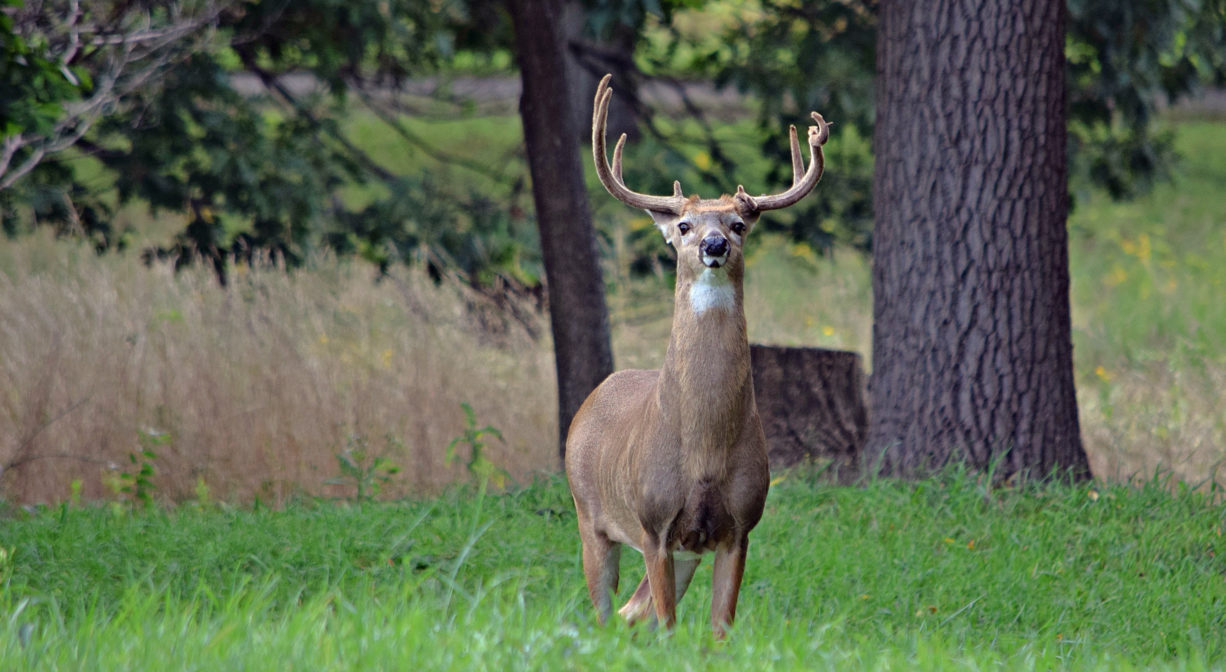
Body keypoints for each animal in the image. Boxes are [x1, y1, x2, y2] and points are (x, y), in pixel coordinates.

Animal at [566, 74, 833, 642]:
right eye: (684, 225)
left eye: (738, 224)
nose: (714, 244)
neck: (705, 450)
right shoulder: (654, 525)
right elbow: (668, 625)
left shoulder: (739, 527)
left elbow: (719, 629)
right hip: (588, 516)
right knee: (604, 611)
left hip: (682, 551)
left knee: (630, 613)